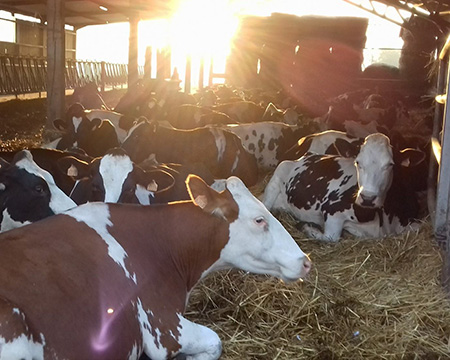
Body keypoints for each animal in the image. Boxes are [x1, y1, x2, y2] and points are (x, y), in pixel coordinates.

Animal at [262, 133, 424, 242]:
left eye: (390, 164)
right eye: (357, 162)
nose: (367, 198)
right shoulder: (332, 209)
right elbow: (331, 237)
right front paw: (306, 227)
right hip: (279, 173)